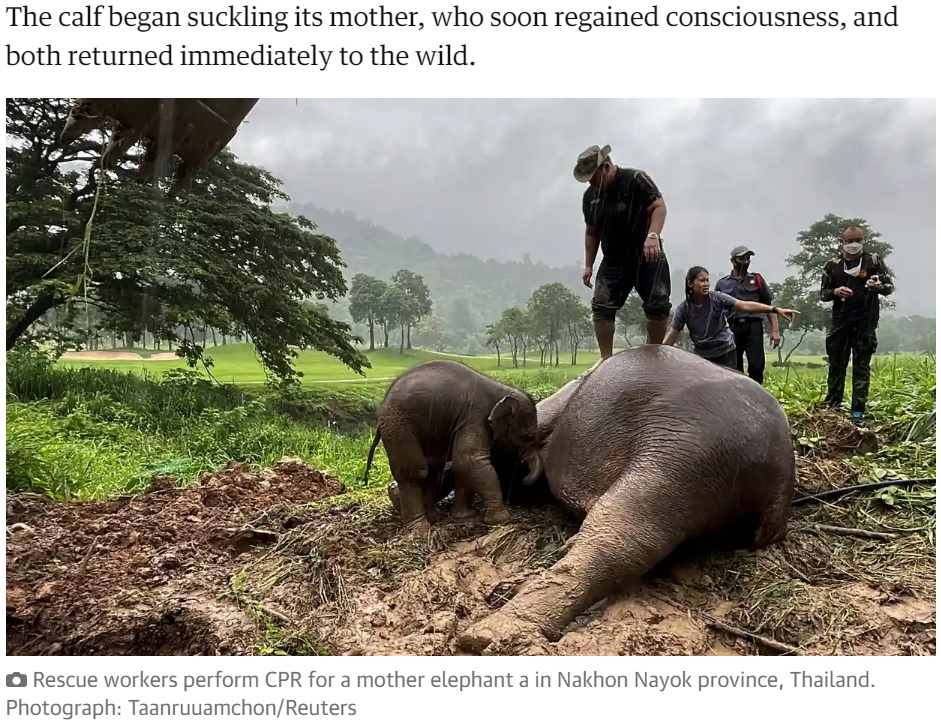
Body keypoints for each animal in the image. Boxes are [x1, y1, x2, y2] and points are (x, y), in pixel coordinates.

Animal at [366, 362, 544, 536]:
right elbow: (469, 460)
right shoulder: (475, 417)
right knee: (416, 471)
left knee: (432, 470)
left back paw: (434, 518)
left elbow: (462, 465)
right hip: (398, 426)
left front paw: (466, 516)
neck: (501, 390)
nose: (524, 478)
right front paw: (501, 519)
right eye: (528, 436)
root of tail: (381, 410)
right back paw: (420, 530)